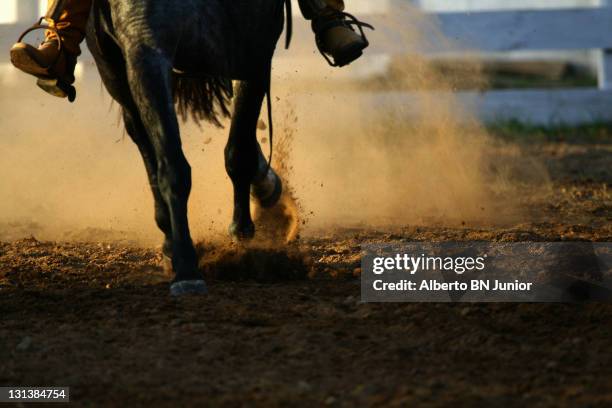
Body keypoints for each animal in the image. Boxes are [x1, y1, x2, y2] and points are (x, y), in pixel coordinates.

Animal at [85, 0, 292, 294]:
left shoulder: (254, 47)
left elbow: (239, 150)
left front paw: (242, 229)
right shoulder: (143, 49)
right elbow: (172, 166)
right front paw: (186, 267)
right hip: (116, 72)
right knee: (141, 136)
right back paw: (170, 240)